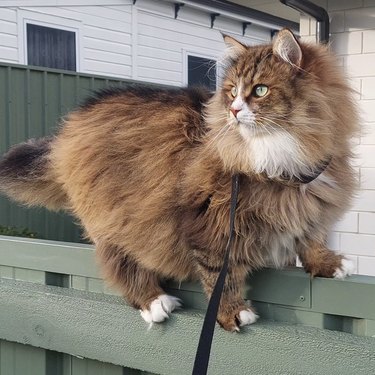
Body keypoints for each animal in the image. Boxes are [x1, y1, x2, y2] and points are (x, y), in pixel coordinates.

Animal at [0, 30, 358, 334]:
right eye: (232, 92)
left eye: (260, 90)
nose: (233, 110)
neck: (282, 159)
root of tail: (70, 128)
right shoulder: (212, 224)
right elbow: (219, 275)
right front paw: (231, 313)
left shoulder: (308, 206)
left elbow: (311, 238)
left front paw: (329, 264)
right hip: (120, 219)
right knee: (120, 262)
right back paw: (154, 301)